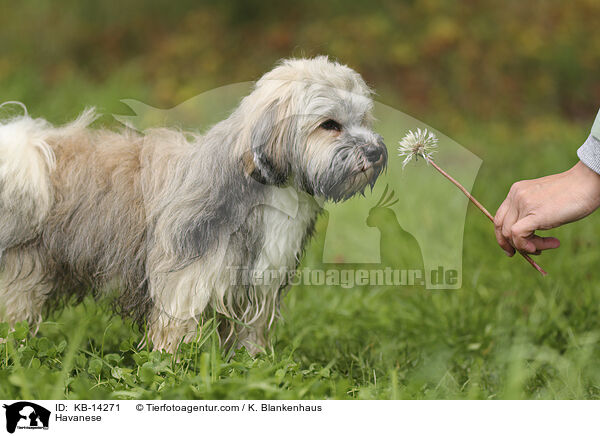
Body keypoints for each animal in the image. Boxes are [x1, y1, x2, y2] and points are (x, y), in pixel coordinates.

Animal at [0, 56, 390, 354]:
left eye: (363, 120)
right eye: (330, 125)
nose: (375, 152)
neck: (261, 182)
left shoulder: (256, 284)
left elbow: (249, 333)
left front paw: (254, 362)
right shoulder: (186, 279)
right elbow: (175, 331)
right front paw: (172, 367)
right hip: (22, 271)